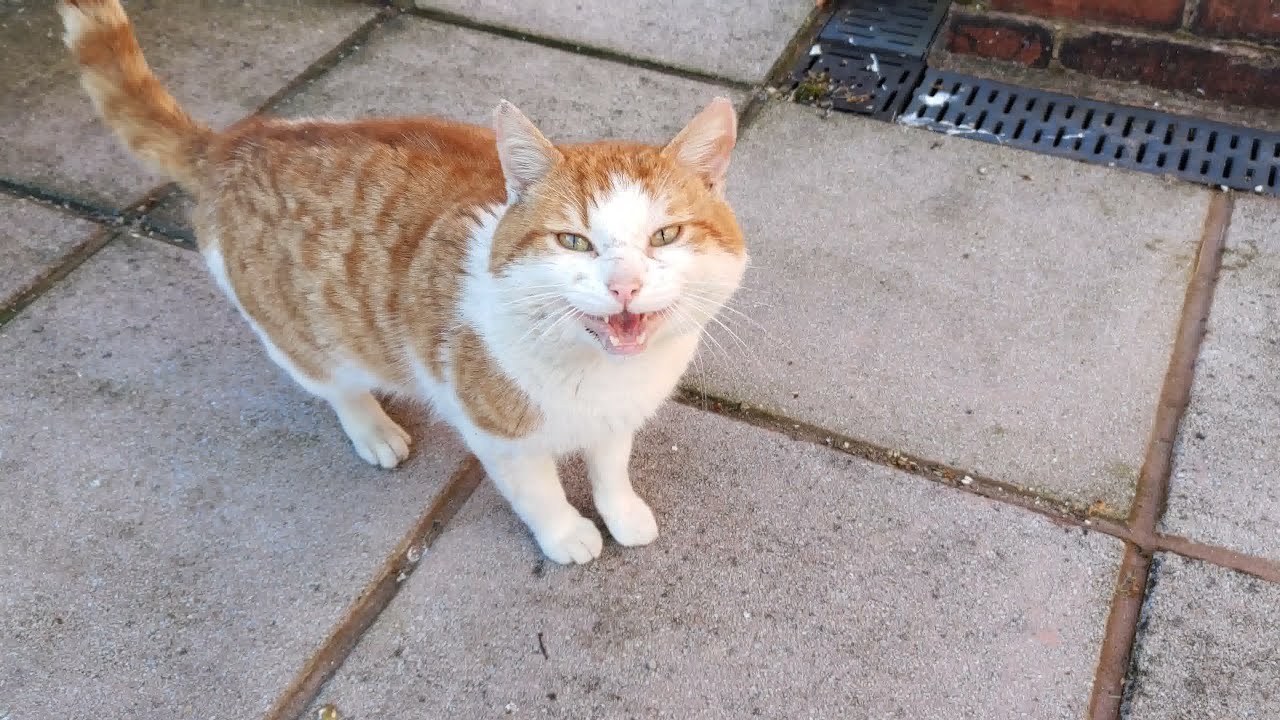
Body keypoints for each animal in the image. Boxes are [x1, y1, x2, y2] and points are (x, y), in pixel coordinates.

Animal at [59, 0, 746, 565]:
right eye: (573, 241)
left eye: (665, 235)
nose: (624, 284)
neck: (603, 375)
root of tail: (236, 140)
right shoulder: (502, 438)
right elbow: (541, 494)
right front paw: (567, 535)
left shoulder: (617, 422)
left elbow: (611, 470)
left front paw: (621, 513)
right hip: (302, 337)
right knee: (336, 386)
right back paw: (374, 430)